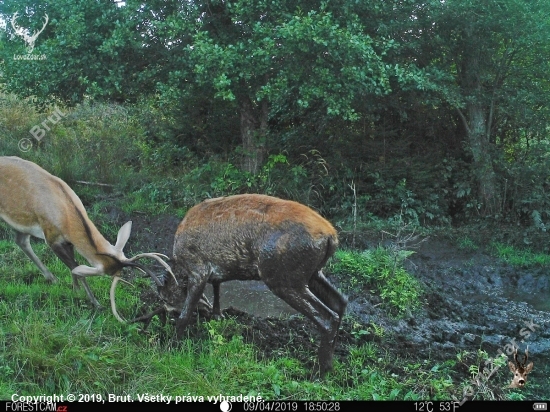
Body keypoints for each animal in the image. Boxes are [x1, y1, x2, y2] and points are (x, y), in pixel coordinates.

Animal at [0, 156, 171, 314]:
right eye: (109, 274)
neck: (65, 215)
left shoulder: (68, 241)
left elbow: (73, 268)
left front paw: (75, 290)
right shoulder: (51, 238)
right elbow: (76, 268)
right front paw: (95, 303)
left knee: (21, 241)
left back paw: (51, 278)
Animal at [113, 195, 348, 378]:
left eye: (167, 303)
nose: (166, 314)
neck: (180, 266)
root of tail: (331, 236)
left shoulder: (198, 269)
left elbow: (185, 316)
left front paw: (172, 347)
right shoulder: (216, 272)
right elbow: (218, 290)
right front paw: (216, 315)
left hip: (283, 276)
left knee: (327, 317)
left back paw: (319, 371)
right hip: (313, 273)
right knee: (341, 302)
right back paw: (331, 363)